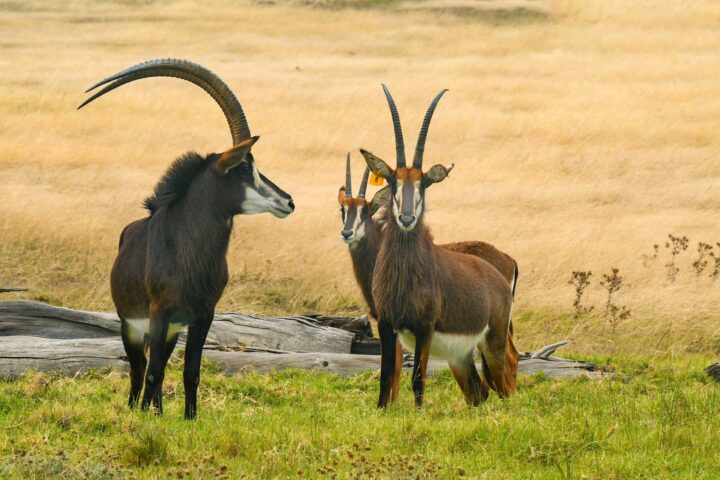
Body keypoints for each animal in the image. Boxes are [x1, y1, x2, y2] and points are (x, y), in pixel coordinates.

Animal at [79, 59, 292, 420]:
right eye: (244, 168)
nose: (288, 201)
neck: (189, 249)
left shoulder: (202, 316)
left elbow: (190, 371)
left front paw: (188, 418)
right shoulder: (160, 314)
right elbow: (152, 372)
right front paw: (144, 419)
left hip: (170, 331)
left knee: (159, 365)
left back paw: (158, 411)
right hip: (132, 326)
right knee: (139, 369)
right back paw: (137, 409)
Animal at [360, 84, 516, 406]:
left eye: (423, 183)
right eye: (393, 181)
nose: (406, 218)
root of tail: (499, 275)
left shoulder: (425, 328)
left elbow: (418, 380)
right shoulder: (386, 325)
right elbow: (385, 380)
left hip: (493, 344)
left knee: (505, 386)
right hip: (461, 357)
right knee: (479, 393)